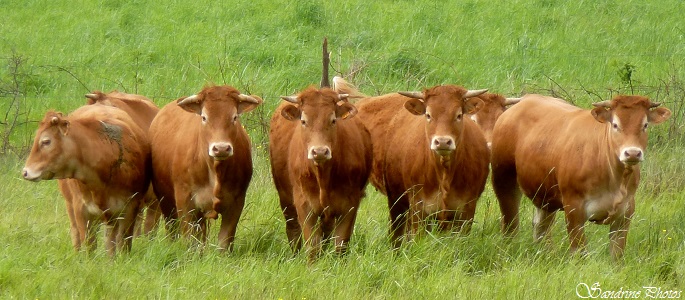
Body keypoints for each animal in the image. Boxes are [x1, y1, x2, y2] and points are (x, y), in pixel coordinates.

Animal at [22, 105, 150, 255]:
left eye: (46, 141)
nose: (25, 172)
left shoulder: (130, 207)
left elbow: (122, 244)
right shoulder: (81, 210)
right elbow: (89, 246)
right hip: (70, 204)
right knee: (75, 232)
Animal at [150, 85, 262, 252]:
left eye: (234, 117)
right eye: (204, 117)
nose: (221, 148)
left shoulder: (236, 203)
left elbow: (224, 242)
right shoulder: (185, 202)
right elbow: (189, 240)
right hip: (165, 200)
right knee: (172, 229)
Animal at [270, 86, 372, 260]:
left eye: (333, 120)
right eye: (304, 121)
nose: (319, 152)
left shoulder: (350, 205)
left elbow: (341, 244)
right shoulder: (304, 204)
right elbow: (312, 246)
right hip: (285, 198)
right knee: (293, 229)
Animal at [350, 82, 488, 248]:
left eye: (459, 115)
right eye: (428, 115)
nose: (442, 142)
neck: (444, 173)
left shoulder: (466, 210)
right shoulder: (419, 208)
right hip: (396, 199)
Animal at [488, 94, 672, 258]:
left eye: (645, 125)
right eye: (615, 125)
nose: (632, 153)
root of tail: (525, 100)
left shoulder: (625, 214)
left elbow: (617, 256)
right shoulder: (574, 210)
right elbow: (580, 253)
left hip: (546, 194)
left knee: (541, 227)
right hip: (504, 181)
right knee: (510, 222)